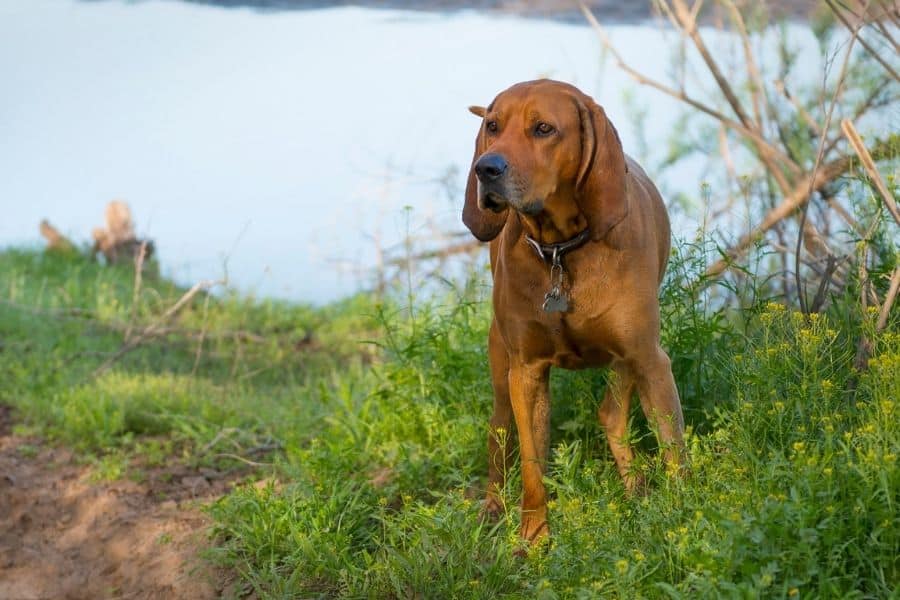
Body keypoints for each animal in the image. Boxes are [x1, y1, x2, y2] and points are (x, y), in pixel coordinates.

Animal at [460, 81, 684, 548]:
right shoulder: (525, 373)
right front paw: (532, 539)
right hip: (501, 371)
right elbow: (532, 467)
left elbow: (674, 448)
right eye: (493, 126)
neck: (561, 251)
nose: (485, 169)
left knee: (612, 415)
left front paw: (686, 515)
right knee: (499, 433)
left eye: (544, 129)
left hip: (627, 359)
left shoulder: (649, 359)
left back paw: (636, 489)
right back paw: (492, 507)